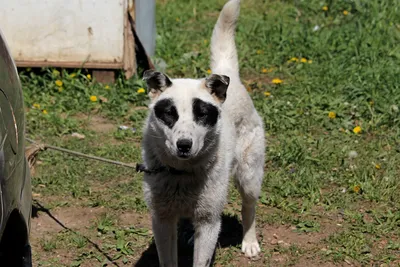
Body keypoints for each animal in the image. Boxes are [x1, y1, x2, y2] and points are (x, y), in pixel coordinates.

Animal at [141, 1, 266, 266]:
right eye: (169, 114)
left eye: (202, 114)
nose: (184, 145)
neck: (181, 173)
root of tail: (227, 73)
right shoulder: (162, 220)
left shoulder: (209, 222)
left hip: (249, 176)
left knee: (249, 209)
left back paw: (249, 242)